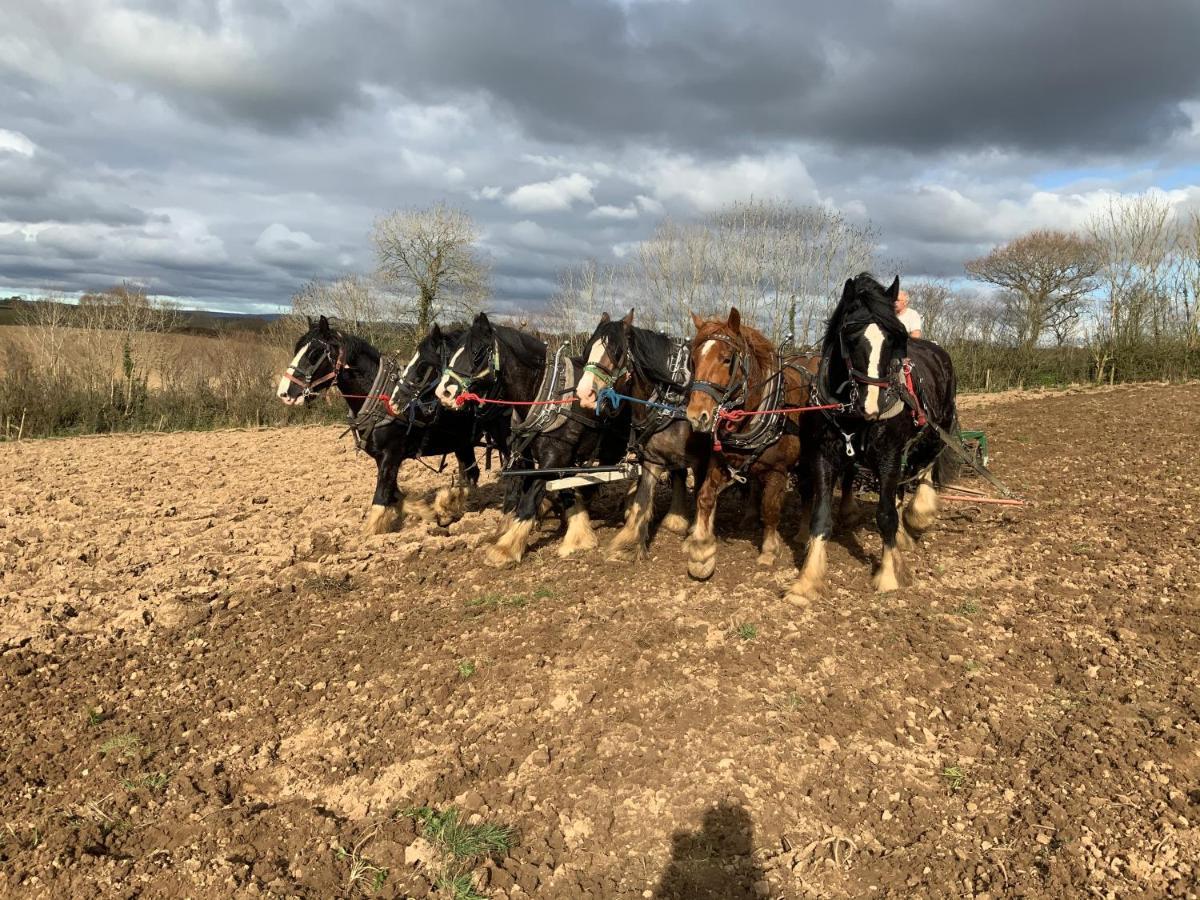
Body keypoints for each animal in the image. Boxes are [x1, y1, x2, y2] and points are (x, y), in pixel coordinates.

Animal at [276, 314, 506, 532]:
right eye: (297, 349)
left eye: (314, 354)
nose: (284, 394)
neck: (379, 398)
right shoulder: (381, 458)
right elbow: (394, 494)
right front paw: (428, 512)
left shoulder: (391, 454)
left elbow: (381, 496)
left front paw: (368, 535)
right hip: (462, 443)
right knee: (469, 474)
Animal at [436, 314, 633, 566]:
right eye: (452, 353)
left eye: (477, 352)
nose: (443, 393)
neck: (545, 394)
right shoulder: (525, 456)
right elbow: (527, 491)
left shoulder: (555, 457)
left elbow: (532, 496)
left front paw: (506, 548)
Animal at [571, 314, 700, 561]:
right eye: (589, 349)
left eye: (616, 352)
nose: (584, 394)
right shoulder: (652, 458)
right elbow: (642, 499)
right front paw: (628, 545)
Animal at [787, 274, 955, 607]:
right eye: (850, 336)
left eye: (894, 339)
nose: (872, 405)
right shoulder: (824, 455)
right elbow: (821, 517)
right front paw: (806, 582)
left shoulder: (888, 456)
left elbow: (886, 515)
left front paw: (889, 575)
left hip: (937, 429)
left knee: (925, 469)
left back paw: (919, 514)